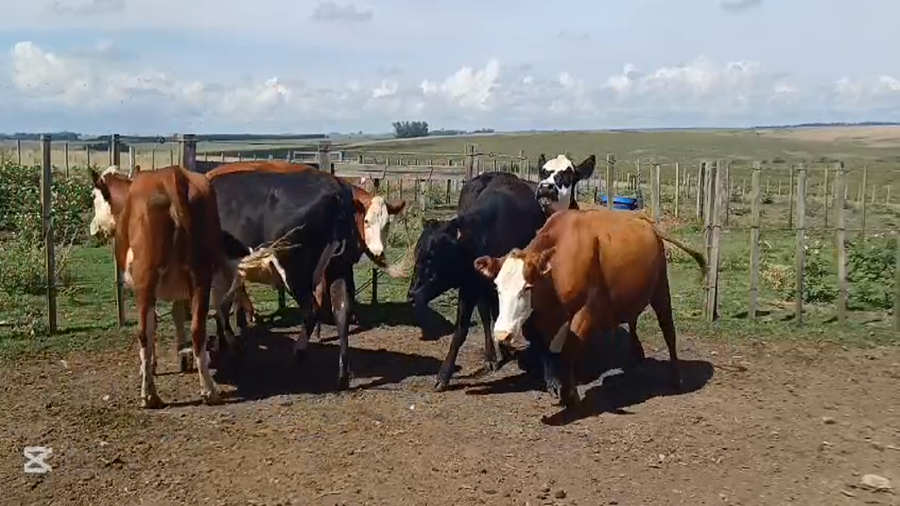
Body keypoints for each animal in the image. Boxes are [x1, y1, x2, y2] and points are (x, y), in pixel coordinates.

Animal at [88, 164, 237, 408]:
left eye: (94, 196)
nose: (93, 228)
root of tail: (172, 176)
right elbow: (178, 317)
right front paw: (182, 354)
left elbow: (153, 326)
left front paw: (150, 366)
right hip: (201, 277)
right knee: (198, 329)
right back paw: (208, 390)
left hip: (146, 281)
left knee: (144, 333)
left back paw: (149, 395)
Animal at [204, 162, 380, 390]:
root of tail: (336, 187)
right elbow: (224, 303)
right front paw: (223, 343)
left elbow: (220, 304)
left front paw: (228, 344)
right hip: (339, 265)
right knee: (342, 310)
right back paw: (342, 376)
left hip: (294, 270)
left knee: (312, 309)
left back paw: (298, 352)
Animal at [402, 171, 550, 391]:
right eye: (416, 254)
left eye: (431, 256)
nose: (412, 295)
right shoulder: (469, 287)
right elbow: (461, 330)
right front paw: (443, 376)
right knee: (487, 316)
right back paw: (492, 356)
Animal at [473, 208, 706, 408]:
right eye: (497, 286)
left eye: (527, 287)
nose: (502, 333)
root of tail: (646, 222)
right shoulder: (543, 319)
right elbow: (547, 350)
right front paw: (555, 385)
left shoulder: (586, 312)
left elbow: (568, 350)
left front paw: (570, 394)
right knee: (633, 319)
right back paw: (636, 352)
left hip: (660, 290)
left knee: (668, 330)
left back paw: (676, 377)